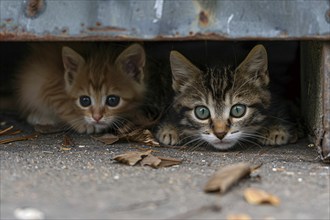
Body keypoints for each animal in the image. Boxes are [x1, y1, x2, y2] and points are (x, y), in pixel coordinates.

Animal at [17, 42, 147, 133]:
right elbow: (64, 104)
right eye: (85, 100)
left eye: (112, 100)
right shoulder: (48, 81)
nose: (97, 117)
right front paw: (83, 123)